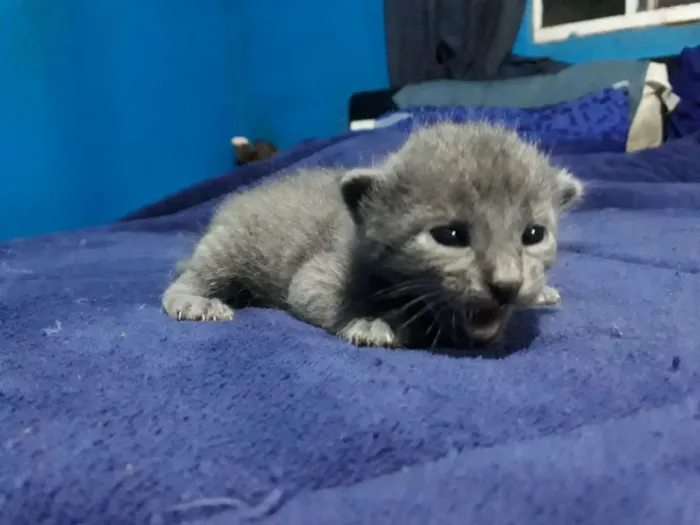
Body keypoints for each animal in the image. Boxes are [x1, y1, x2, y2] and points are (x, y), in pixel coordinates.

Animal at [161, 122, 584, 348]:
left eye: (534, 234)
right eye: (449, 235)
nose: (507, 285)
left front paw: (541, 291)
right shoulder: (315, 275)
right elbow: (320, 296)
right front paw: (370, 323)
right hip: (229, 244)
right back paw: (194, 301)